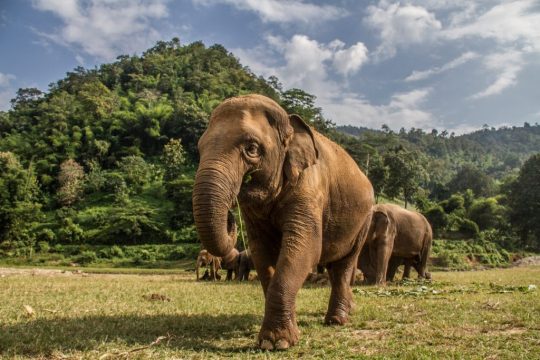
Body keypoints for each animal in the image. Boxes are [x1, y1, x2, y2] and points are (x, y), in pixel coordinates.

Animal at [192, 94, 374, 350]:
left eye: (251, 148)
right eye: (200, 149)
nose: (230, 215)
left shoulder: (310, 189)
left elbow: (305, 248)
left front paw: (277, 343)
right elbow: (262, 252)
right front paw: (277, 338)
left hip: (364, 220)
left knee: (343, 264)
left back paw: (336, 320)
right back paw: (348, 310)